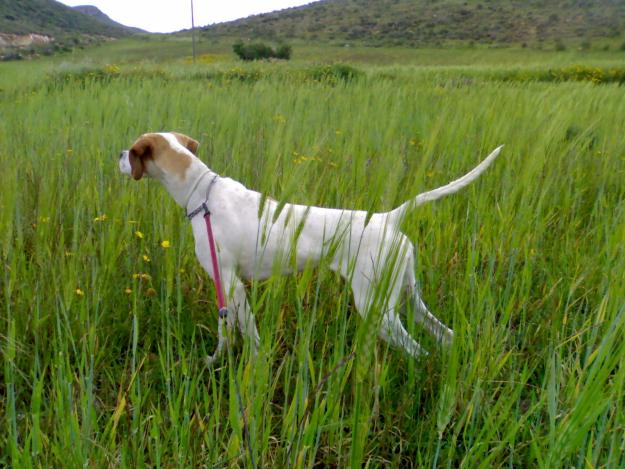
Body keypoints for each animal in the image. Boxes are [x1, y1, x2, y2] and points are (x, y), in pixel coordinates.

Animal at [118, 132, 502, 362]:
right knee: (444, 336)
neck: (203, 192)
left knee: (418, 351)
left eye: (132, 150)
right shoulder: (226, 287)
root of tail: (390, 218)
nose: (119, 153)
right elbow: (229, 332)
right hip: (408, 297)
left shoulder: (229, 283)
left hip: (376, 307)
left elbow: (243, 333)